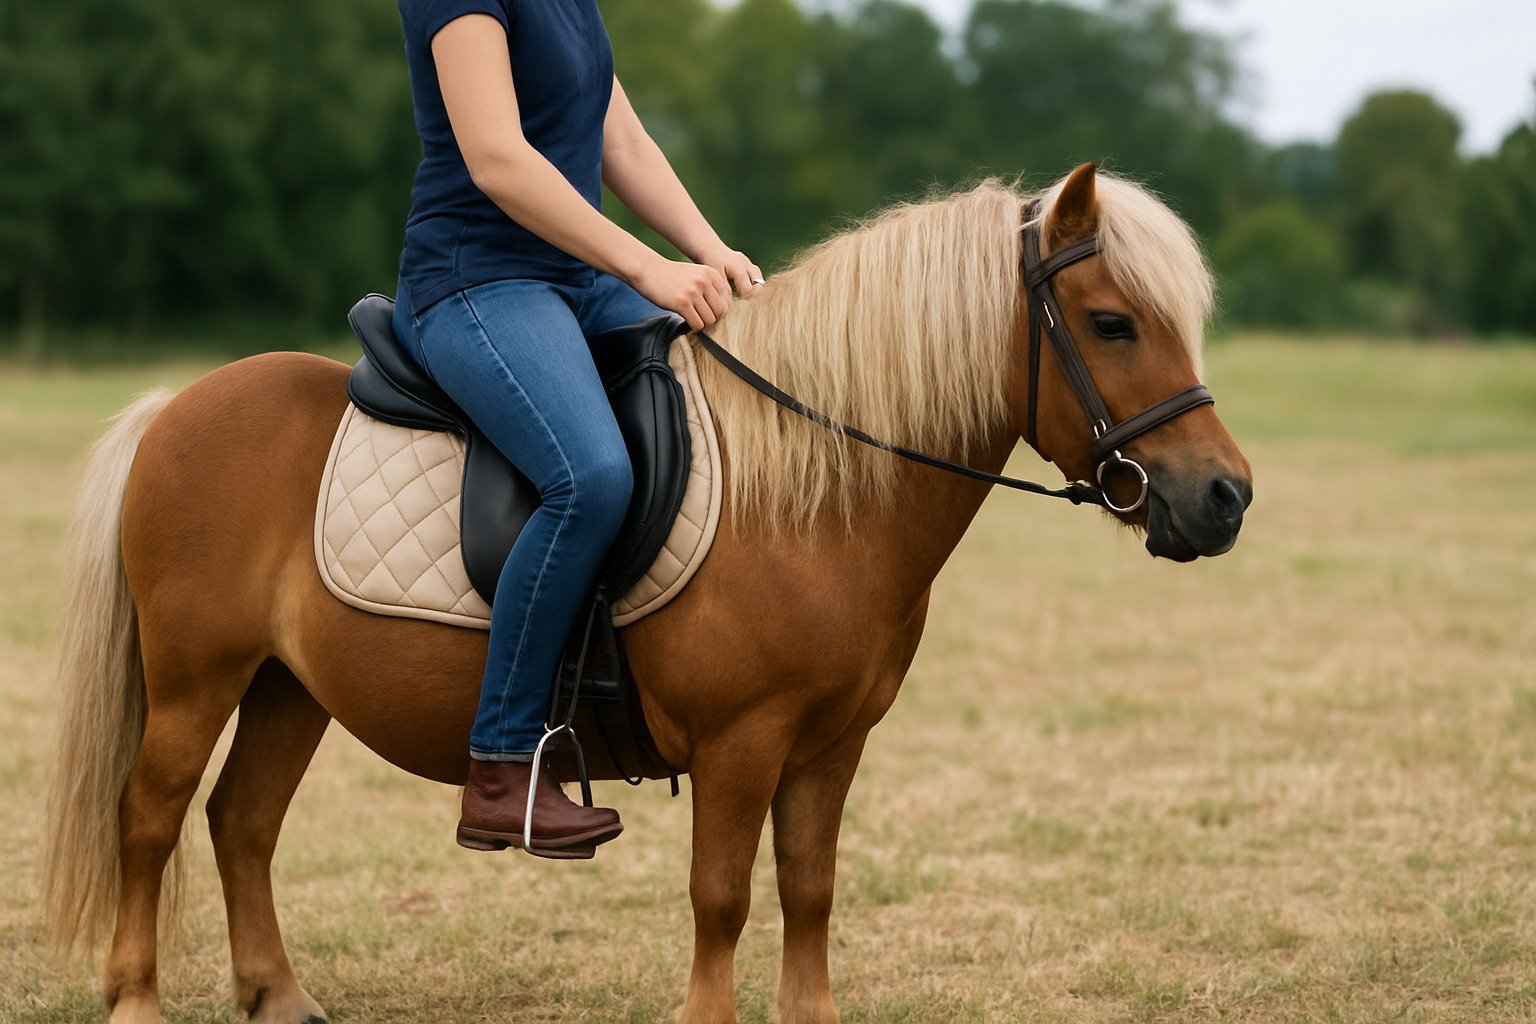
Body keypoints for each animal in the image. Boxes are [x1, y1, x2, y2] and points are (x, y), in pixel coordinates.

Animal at [40, 162, 1251, 1024]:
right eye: (1112, 322)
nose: (1226, 496)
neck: (808, 489)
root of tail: (177, 407)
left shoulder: (831, 744)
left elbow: (809, 891)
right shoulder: (741, 740)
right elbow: (723, 896)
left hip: (291, 686)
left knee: (241, 821)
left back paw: (281, 997)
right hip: (195, 678)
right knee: (149, 817)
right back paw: (136, 1000)